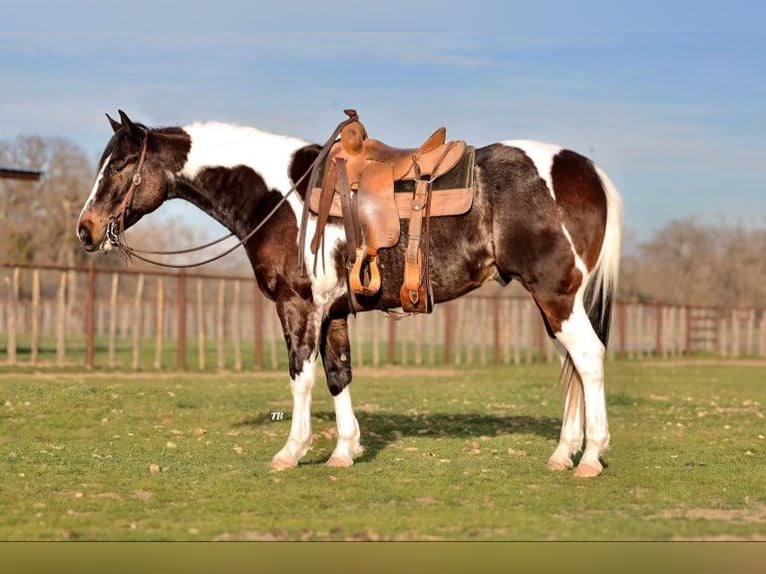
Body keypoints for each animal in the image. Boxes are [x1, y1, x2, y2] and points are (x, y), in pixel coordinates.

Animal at [76, 110, 624, 480]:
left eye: (120, 166)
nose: (86, 229)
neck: (282, 197)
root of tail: (587, 171)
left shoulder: (298, 305)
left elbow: (300, 377)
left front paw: (291, 451)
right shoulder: (334, 311)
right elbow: (339, 376)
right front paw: (343, 451)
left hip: (558, 296)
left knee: (588, 360)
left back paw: (591, 456)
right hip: (554, 303)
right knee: (574, 367)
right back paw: (563, 453)